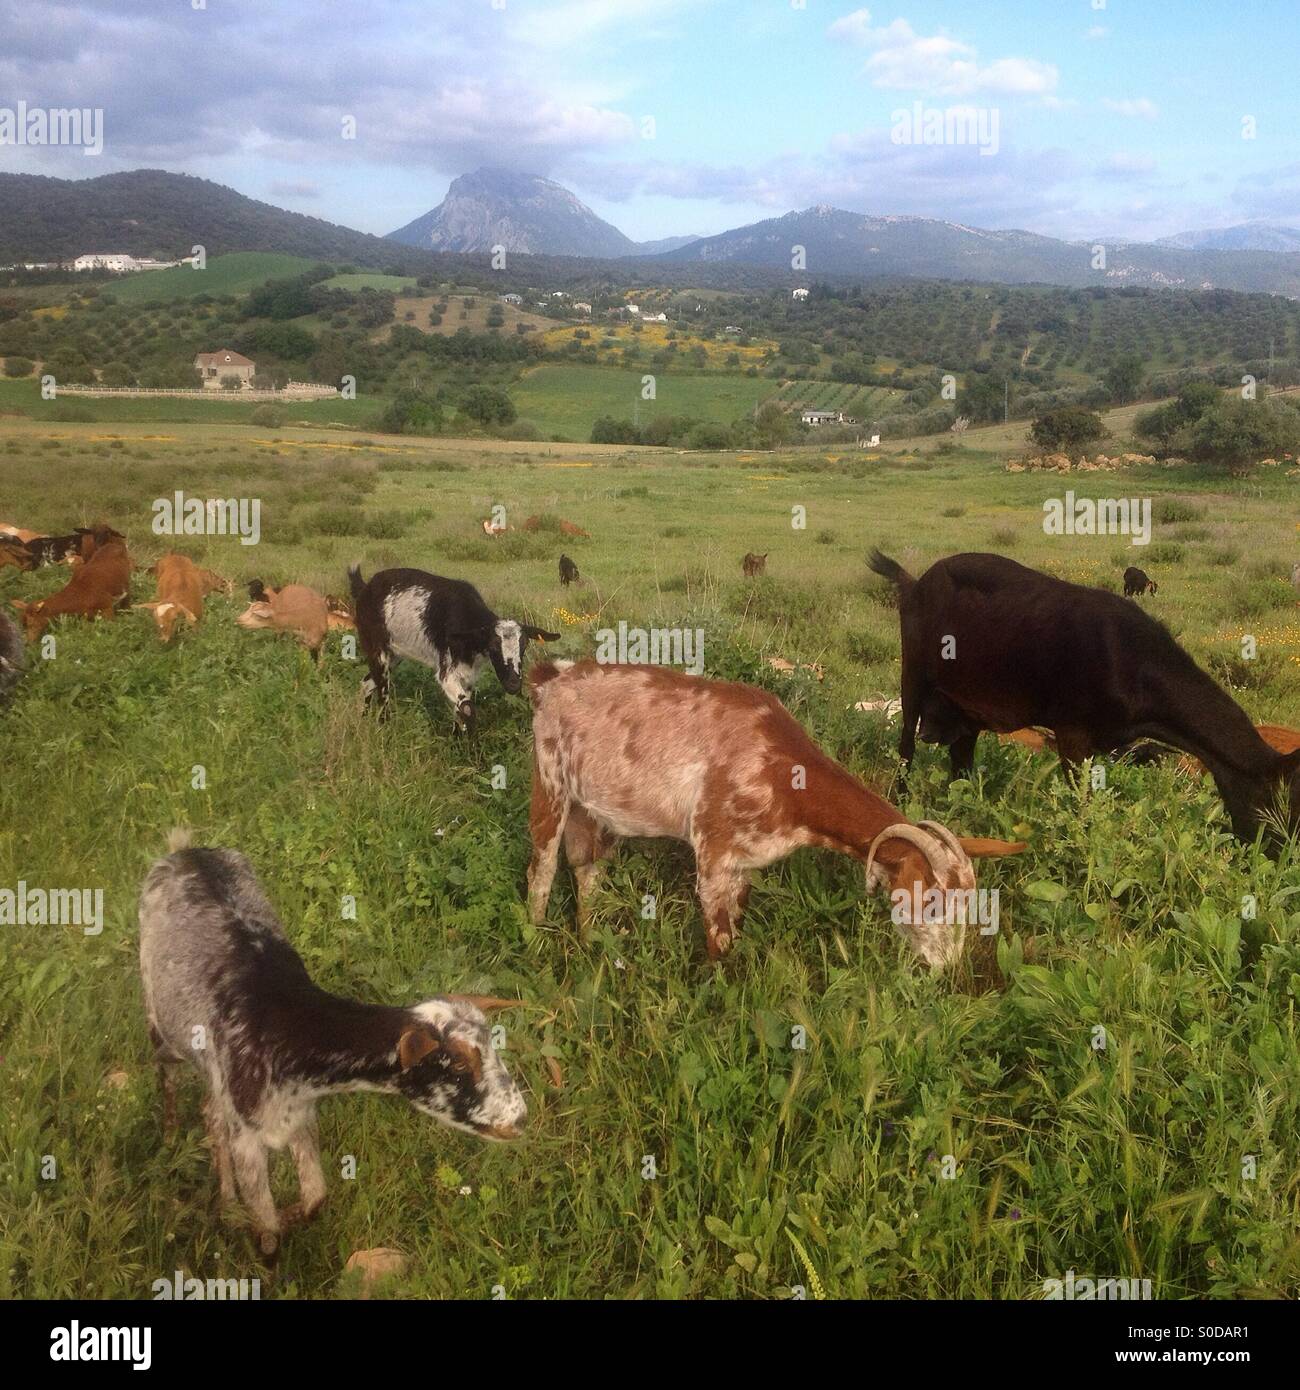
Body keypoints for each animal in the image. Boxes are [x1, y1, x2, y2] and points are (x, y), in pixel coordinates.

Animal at [139, 831, 527, 1256]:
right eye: (457, 1063)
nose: (520, 1118)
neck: (282, 1024)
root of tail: (185, 851)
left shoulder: (299, 1116)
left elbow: (315, 1195)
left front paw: (283, 1215)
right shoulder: (249, 1140)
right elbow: (269, 1229)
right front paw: (262, 1233)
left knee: (210, 1109)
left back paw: (223, 1197)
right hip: (157, 1012)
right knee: (166, 1072)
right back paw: (171, 1139)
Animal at [349, 565, 558, 732]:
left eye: (524, 645)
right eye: (493, 646)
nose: (514, 684)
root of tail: (365, 587)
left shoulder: (468, 676)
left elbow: (461, 713)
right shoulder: (446, 673)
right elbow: (468, 710)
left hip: (394, 655)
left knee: (367, 683)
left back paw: (362, 722)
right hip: (376, 648)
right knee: (382, 694)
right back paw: (383, 729)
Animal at [525, 660, 1025, 967]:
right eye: (932, 901)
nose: (947, 967)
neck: (780, 768)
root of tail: (550, 678)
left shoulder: (745, 862)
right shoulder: (713, 852)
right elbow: (720, 943)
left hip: (593, 809)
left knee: (587, 868)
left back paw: (589, 943)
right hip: (550, 779)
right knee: (542, 868)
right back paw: (534, 943)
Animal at [869, 548, 1300, 844]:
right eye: (1281, 805)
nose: (1278, 857)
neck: (1133, 663)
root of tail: (915, 581)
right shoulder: (1072, 733)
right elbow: (1082, 805)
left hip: (966, 707)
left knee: (960, 760)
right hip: (913, 672)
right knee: (906, 746)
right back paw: (900, 806)